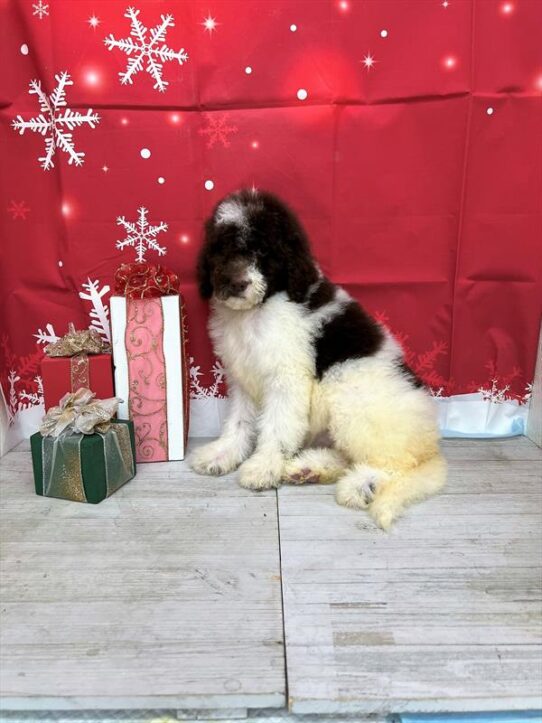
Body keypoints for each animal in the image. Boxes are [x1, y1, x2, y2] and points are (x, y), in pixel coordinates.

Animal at [190, 189, 446, 528]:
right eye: (221, 249)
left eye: (263, 251)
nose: (236, 283)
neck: (257, 311)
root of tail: (432, 443)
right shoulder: (243, 378)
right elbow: (239, 422)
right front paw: (222, 454)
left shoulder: (286, 378)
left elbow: (277, 426)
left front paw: (263, 466)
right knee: (348, 456)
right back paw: (309, 469)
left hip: (352, 397)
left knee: (399, 463)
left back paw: (362, 484)